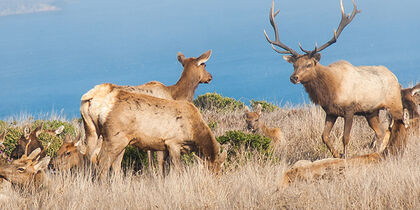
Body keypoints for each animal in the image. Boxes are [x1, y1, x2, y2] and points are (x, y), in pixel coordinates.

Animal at [81, 49, 213, 172]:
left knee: (88, 156)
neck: (175, 94)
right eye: (204, 65)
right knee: (103, 159)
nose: (210, 77)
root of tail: (89, 98)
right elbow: (159, 161)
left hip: (91, 130)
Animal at [82, 83, 226, 178]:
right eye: (210, 171)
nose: (216, 181)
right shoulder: (172, 142)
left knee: (93, 158)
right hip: (115, 137)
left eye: (220, 171)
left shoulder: (164, 147)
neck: (193, 132)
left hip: (94, 132)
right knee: (102, 161)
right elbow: (177, 169)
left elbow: (163, 168)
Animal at [264, 0, 406, 158]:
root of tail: (395, 78)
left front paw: (345, 156)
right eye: (294, 65)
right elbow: (324, 136)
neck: (331, 90)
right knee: (381, 132)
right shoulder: (330, 112)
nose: (293, 77)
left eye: (308, 64)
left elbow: (345, 137)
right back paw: (376, 152)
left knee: (401, 125)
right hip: (371, 112)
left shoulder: (349, 110)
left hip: (395, 103)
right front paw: (337, 154)